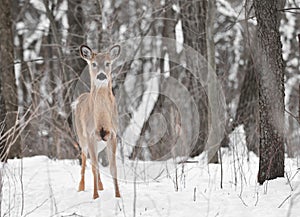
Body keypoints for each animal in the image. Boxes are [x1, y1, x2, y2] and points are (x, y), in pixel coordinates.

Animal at [73, 44, 121, 200]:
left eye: (108, 63)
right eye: (93, 64)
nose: (101, 75)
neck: (101, 118)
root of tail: (80, 98)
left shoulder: (112, 135)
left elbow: (113, 168)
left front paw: (118, 196)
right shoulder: (90, 134)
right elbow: (93, 167)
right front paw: (95, 196)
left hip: (100, 143)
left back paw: (100, 186)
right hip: (82, 137)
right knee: (84, 159)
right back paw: (81, 187)